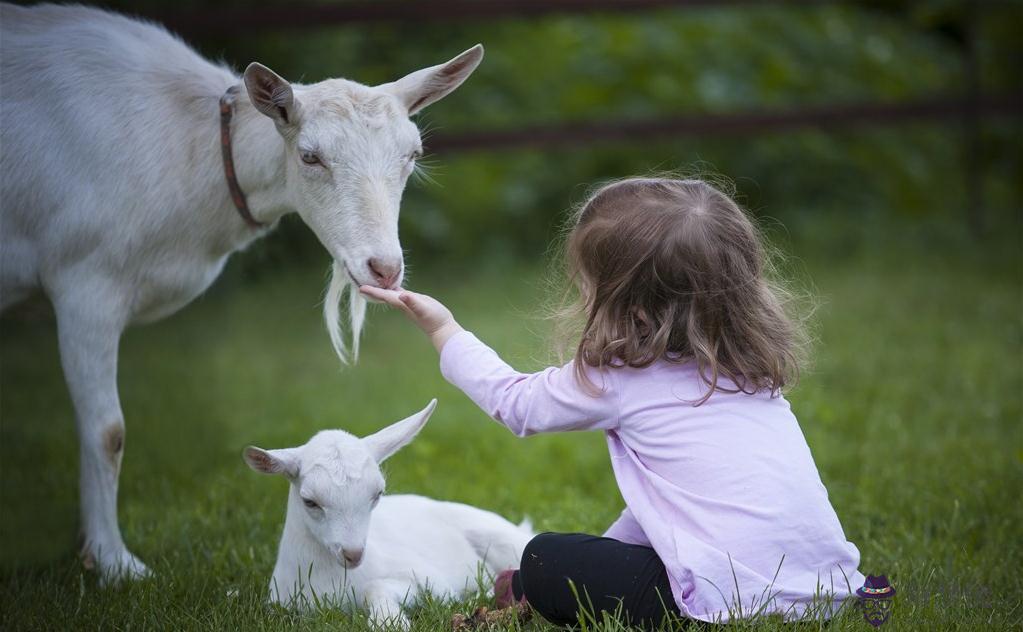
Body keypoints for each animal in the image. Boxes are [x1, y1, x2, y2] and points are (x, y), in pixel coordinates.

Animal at [0, 1, 482, 580]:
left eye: (412, 154)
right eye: (310, 157)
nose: (384, 268)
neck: (192, 150)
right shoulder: (85, 280)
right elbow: (107, 431)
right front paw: (115, 563)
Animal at [243, 398, 531, 625]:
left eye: (377, 494)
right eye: (310, 501)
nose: (353, 554)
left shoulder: (434, 582)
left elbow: (377, 586)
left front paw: (390, 622)